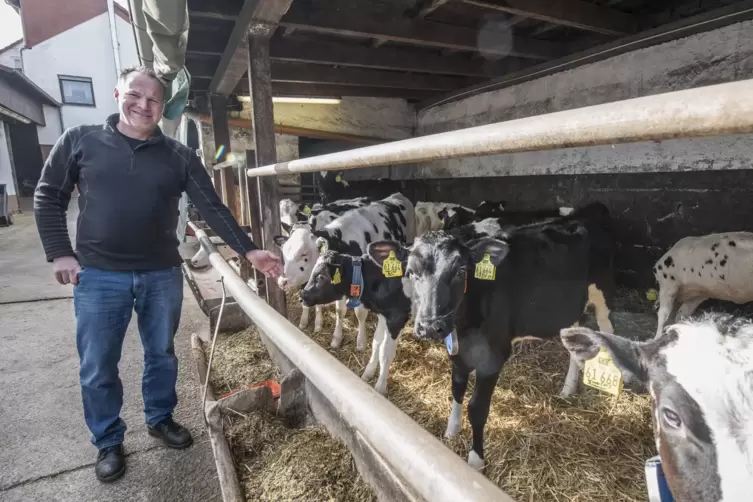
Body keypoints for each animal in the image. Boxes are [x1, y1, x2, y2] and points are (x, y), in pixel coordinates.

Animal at [276, 194, 414, 352]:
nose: (281, 281)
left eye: (304, 254)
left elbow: (360, 313)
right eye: (284, 251)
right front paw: (336, 338)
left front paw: (361, 342)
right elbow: (339, 311)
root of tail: (397, 195)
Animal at [300, 241, 414, 394]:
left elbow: (386, 353)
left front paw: (380, 388)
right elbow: (377, 342)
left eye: (321, 277)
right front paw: (369, 372)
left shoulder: (397, 318)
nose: (302, 296)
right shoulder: (383, 315)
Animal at [396, 202, 612, 468]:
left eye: (461, 270)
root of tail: (591, 207)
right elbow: (456, 389)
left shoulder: (493, 356)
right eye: (410, 271)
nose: (429, 326)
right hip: (569, 307)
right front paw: (452, 430)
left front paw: (475, 460)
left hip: (604, 294)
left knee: (609, 332)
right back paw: (569, 388)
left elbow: (477, 408)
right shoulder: (459, 351)